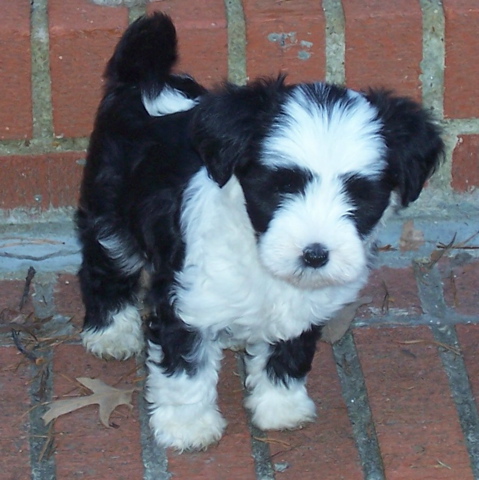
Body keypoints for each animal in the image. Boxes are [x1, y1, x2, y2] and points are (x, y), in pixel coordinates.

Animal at [76, 13, 446, 452]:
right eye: (282, 186)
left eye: (359, 194)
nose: (315, 254)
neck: (259, 255)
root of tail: (146, 81)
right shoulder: (187, 302)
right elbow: (185, 367)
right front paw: (188, 427)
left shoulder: (305, 307)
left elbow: (288, 354)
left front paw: (281, 408)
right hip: (112, 213)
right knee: (104, 266)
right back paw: (111, 332)